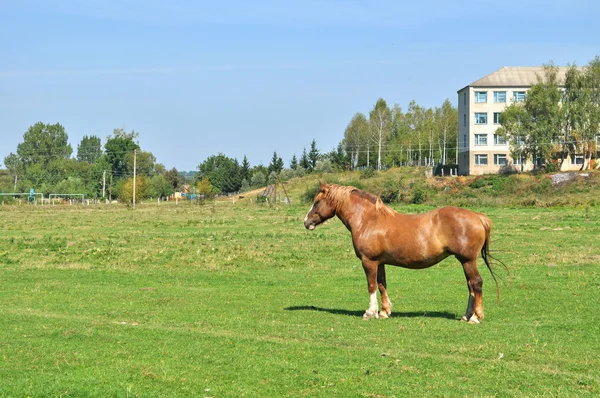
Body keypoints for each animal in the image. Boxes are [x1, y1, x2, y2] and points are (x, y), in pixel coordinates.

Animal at [302, 183, 500, 324]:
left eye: (317, 202)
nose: (306, 222)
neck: (368, 220)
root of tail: (478, 217)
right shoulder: (380, 262)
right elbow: (382, 284)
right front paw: (384, 312)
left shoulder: (369, 261)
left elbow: (371, 286)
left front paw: (370, 312)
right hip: (464, 261)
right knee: (471, 286)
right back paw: (467, 316)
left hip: (468, 260)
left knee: (476, 284)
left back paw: (475, 317)